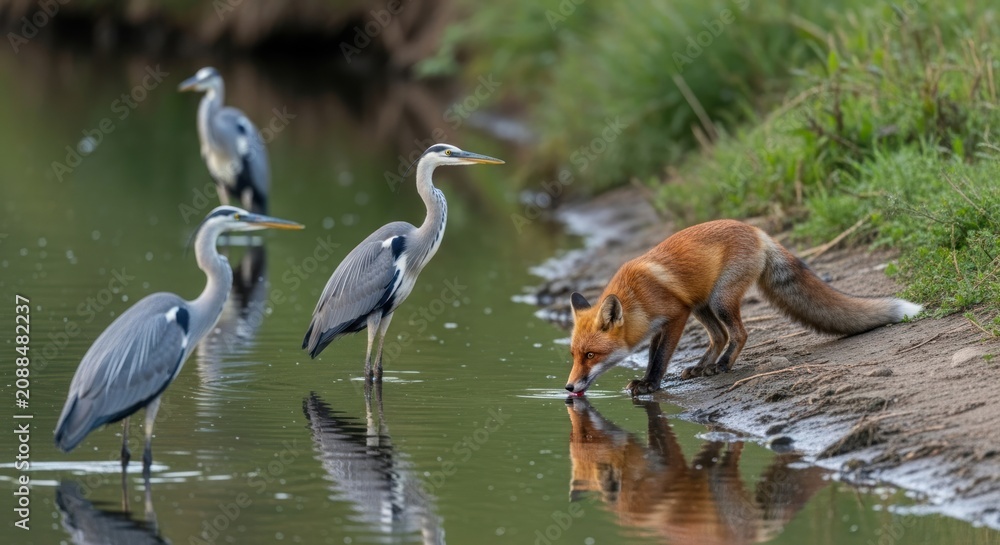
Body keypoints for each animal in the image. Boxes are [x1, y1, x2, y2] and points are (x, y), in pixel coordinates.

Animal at [565, 219, 922, 395]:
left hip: (720, 300)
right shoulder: (664, 323)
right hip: (704, 304)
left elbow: (660, 359)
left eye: (591, 355)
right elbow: (655, 355)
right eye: (574, 355)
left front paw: (650, 384)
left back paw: (722, 365)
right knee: (720, 336)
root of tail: (757, 230)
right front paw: (648, 380)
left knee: (739, 333)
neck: (636, 298)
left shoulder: (676, 315)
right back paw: (703, 366)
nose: (568, 387)